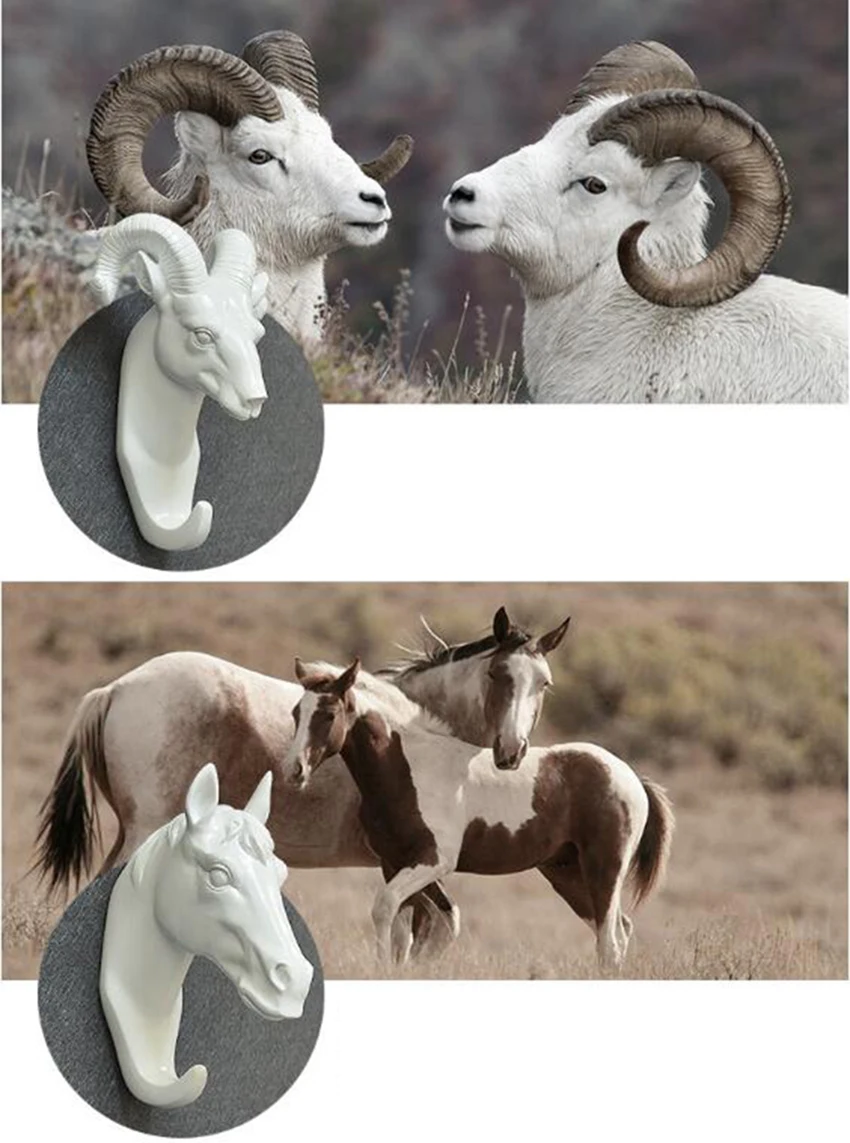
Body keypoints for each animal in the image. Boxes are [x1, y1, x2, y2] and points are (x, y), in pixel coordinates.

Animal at [35, 606, 570, 956]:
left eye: (543, 683)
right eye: (499, 674)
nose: (511, 752)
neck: (414, 732)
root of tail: (115, 688)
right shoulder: (408, 863)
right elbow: (421, 932)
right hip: (145, 832)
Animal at [286, 660, 674, 972]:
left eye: (328, 715)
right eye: (295, 714)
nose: (294, 770)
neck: (408, 768)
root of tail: (630, 777)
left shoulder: (434, 860)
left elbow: (385, 908)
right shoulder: (394, 862)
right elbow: (404, 925)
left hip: (603, 869)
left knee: (610, 941)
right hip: (567, 873)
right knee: (618, 931)